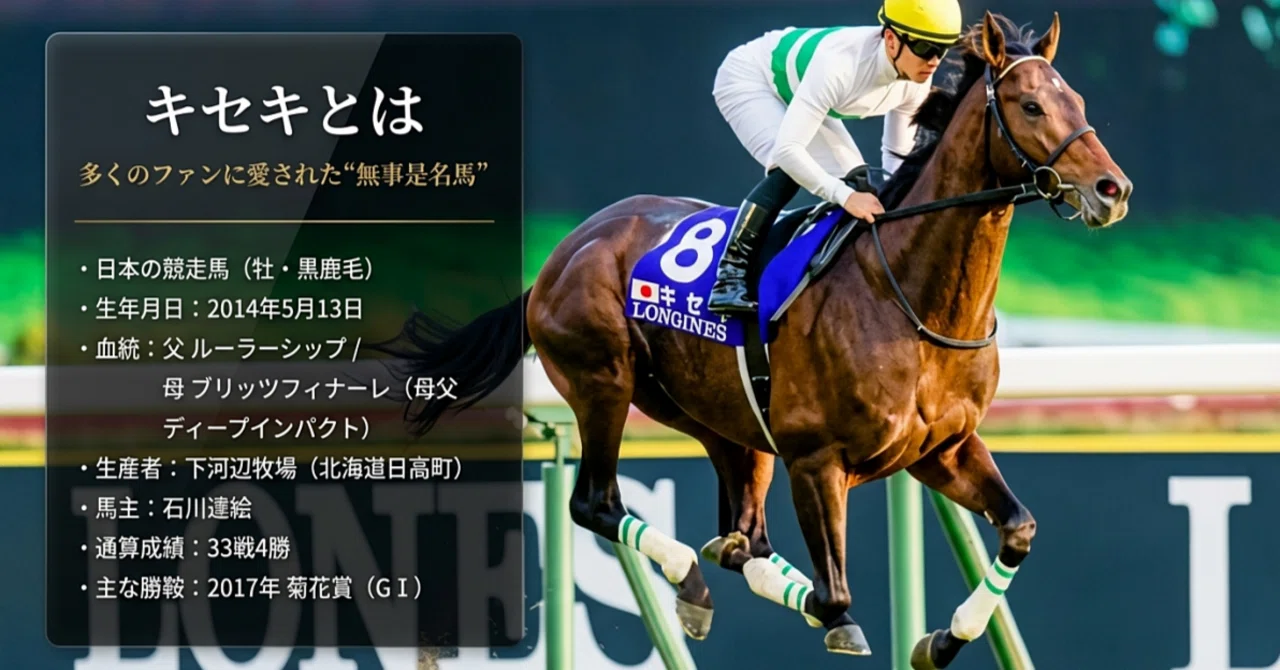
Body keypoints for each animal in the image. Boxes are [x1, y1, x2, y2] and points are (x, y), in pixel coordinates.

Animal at [370, 11, 1131, 669]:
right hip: (604, 382)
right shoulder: (817, 460)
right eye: (1029, 107)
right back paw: (687, 577)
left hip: (718, 417)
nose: (1112, 189)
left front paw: (943, 640)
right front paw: (849, 622)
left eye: (1076, 99)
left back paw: (706, 575)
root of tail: (561, 256)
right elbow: (835, 596)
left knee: (740, 539)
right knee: (600, 504)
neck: (909, 298)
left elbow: (1018, 528)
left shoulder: (941, 448)